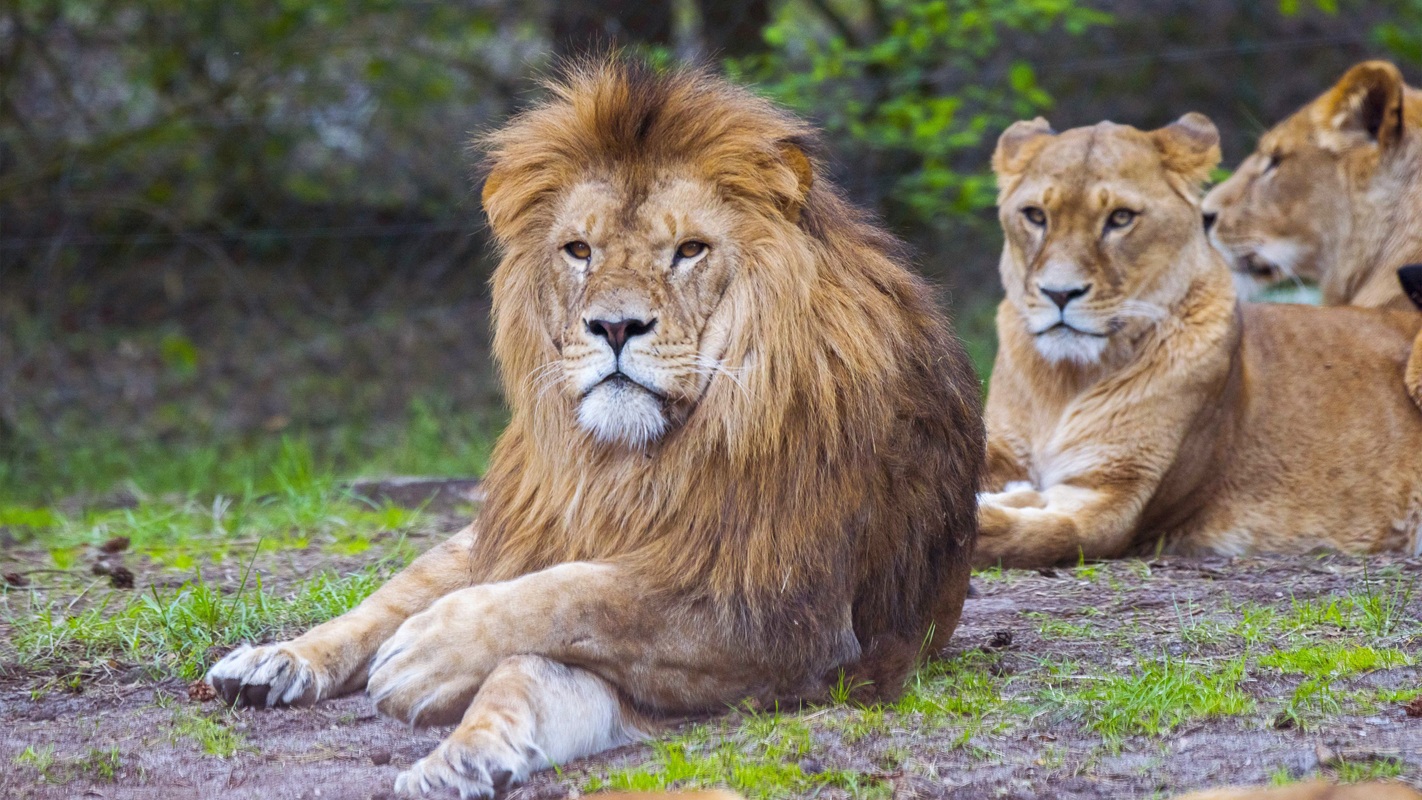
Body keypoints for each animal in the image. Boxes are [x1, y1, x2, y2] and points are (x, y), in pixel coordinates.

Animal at [205, 58, 984, 797]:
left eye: (690, 250)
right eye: (579, 250)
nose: (614, 326)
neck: (626, 463)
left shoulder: (782, 612)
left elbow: (577, 607)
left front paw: (443, 690)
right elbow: (556, 609)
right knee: (386, 598)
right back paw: (272, 662)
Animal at [974, 112, 1422, 569]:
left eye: (1121, 218)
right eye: (1035, 215)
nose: (1059, 293)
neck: (1065, 380)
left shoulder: (1118, 498)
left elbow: (1046, 533)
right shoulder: (1000, 450)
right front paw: (1008, 493)